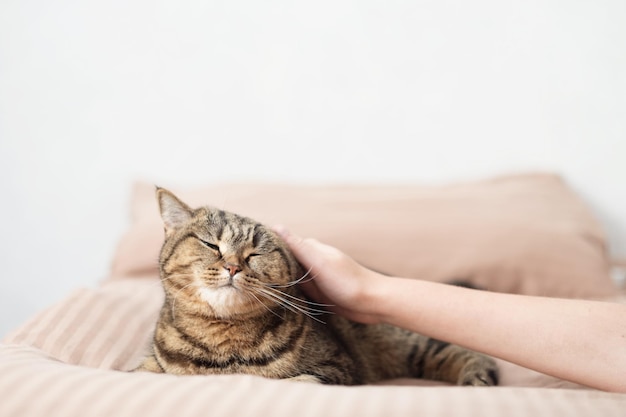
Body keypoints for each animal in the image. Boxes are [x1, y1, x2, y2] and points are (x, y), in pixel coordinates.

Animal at [133, 187, 498, 386]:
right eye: (211, 245)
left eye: (255, 253)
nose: (233, 266)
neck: (223, 344)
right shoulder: (150, 365)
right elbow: (141, 371)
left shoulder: (337, 368)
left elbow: (297, 381)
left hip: (404, 338)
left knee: (467, 353)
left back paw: (477, 379)